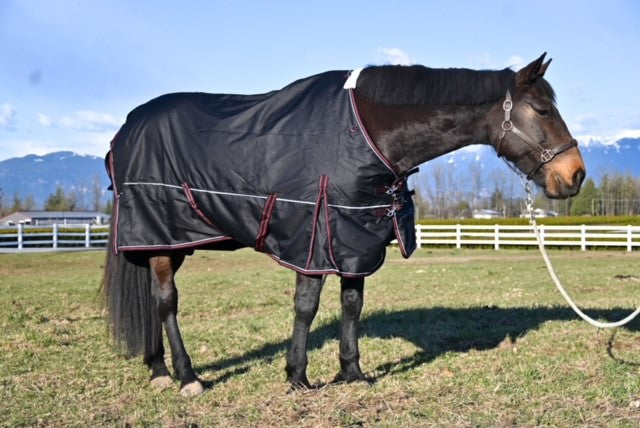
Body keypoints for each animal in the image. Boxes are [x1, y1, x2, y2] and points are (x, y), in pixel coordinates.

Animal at [102, 53, 585, 396]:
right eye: (543, 109)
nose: (575, 175)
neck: (368, 132)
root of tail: (124, 130)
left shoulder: (356, 239)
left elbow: (352, 305)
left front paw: (352, 372)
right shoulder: (312, 239)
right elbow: (307, 306)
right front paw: (298, 377)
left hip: (167, 242)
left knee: (152, 301)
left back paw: (158, 369)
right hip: (162, 237)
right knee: (166, 303)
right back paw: (187, 378)